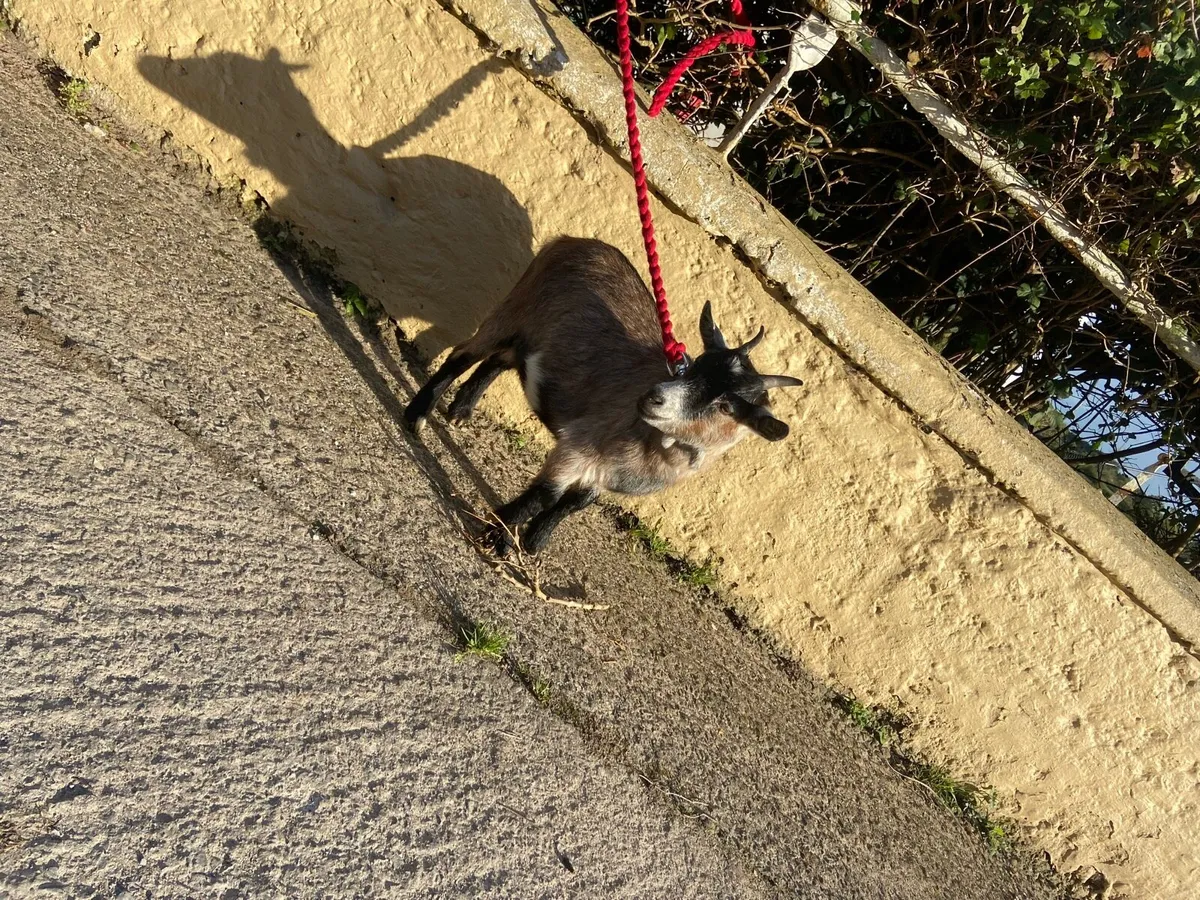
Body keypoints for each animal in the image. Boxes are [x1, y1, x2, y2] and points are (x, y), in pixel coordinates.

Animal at [404, 236, 803, 554]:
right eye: (694, 366)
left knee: (501, 359)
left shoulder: (603, 477)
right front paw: (497, 537)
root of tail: (570, 241)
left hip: (534, 333)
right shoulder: (580, 445)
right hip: (518, 307)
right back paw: (417, 417)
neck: (654, 449)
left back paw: (461, 409)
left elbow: (574, 504)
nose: (654, 397)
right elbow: (546, 494)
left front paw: (533, 544)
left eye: (726, 406)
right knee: (464, 353)